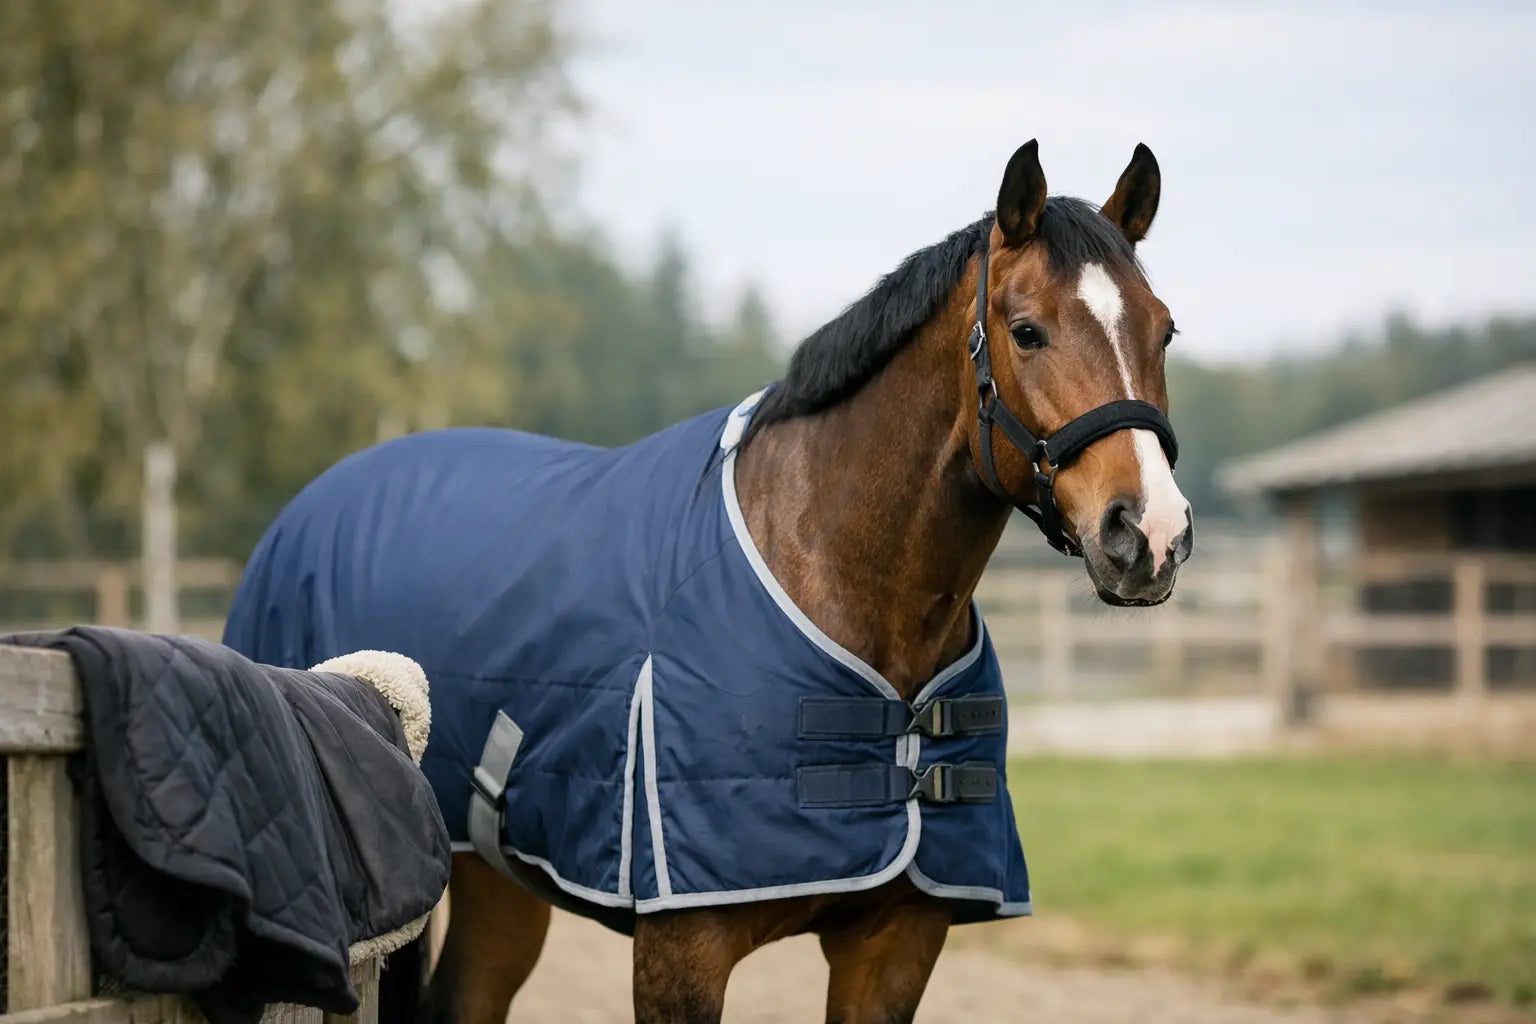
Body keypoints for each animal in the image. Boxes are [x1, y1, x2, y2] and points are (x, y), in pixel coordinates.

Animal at [222, 138, 1192, 1024]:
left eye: (1164, 329)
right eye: (1026, 329)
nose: (1149, 533)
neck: (833, 574)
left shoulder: (896, 948)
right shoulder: (682, 950)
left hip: (493, 871)